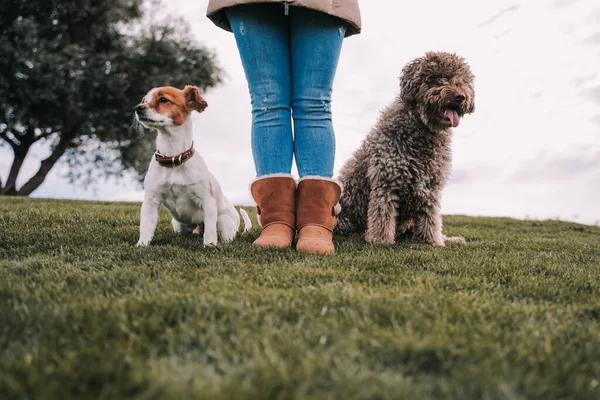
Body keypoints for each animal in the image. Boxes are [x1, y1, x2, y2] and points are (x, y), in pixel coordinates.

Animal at [134, 85, 251, 245]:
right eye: (144, 100)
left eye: (163, 99)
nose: (137, 108)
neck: (173, 158)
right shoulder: (150, 202)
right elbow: (146, 228)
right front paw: (142, 245)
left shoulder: (207, 202)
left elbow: (210, 232)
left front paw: (210, 245)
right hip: (178, 225)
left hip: (224, 223)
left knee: (221, 234)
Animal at [338, 51, 474, 245]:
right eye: (437, 78)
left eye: (462, 80)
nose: (461, 96)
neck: (423, 131)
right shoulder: (386, 182)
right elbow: (383, 215)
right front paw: (381, 240)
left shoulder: (430, 187)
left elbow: (430, 217)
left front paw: (431, 241)